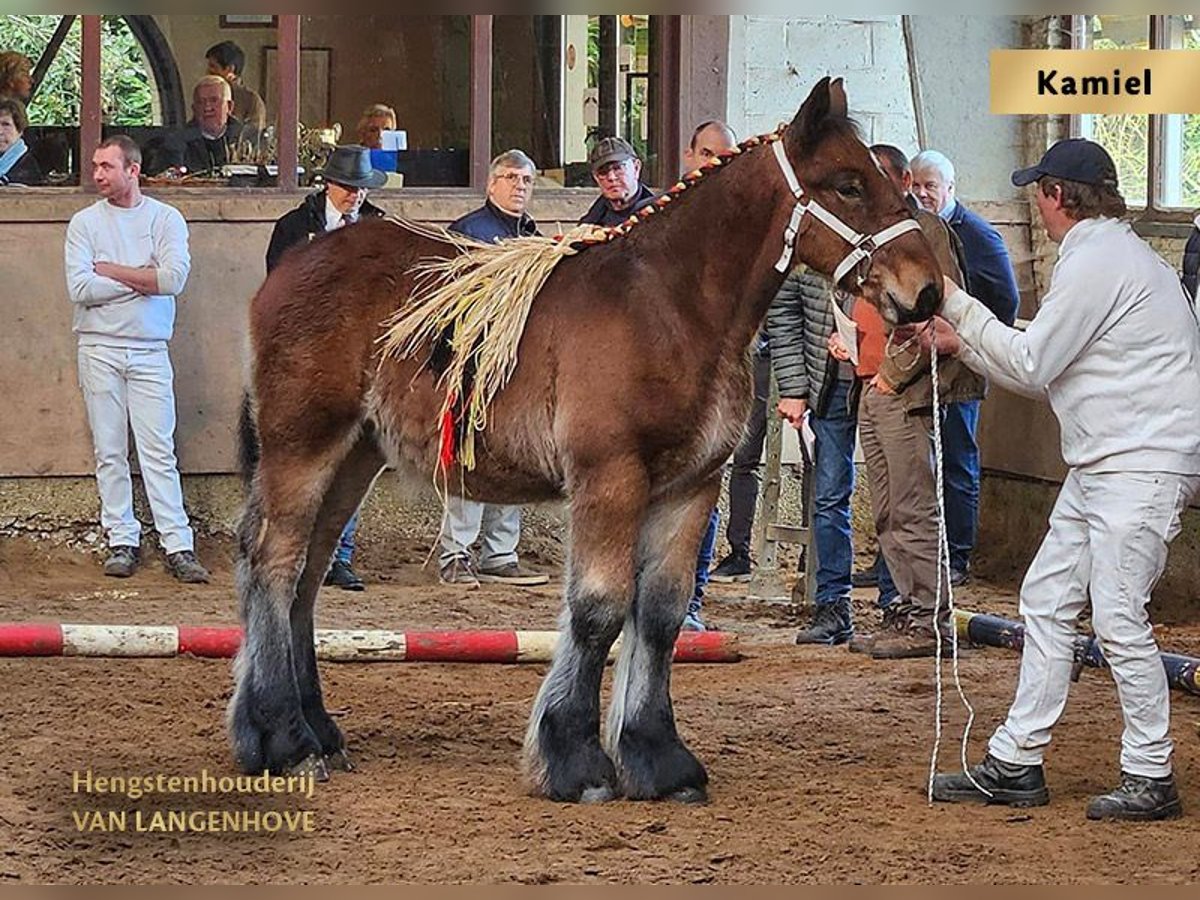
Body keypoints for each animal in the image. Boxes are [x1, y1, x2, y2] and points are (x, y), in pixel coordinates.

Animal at [229, 79, 940, 801]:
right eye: (848, 185)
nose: (928, 291)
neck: (670, 306)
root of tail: (291, 267)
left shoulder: (690, 487)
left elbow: (659, 615)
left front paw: (657, 757)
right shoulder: (610, 476)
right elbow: (599, 609)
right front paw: (575, 759)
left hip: (354, 456)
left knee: (309, 574)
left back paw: (315, 730)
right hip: (303, 446)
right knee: (276, 563)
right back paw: (285, 740)